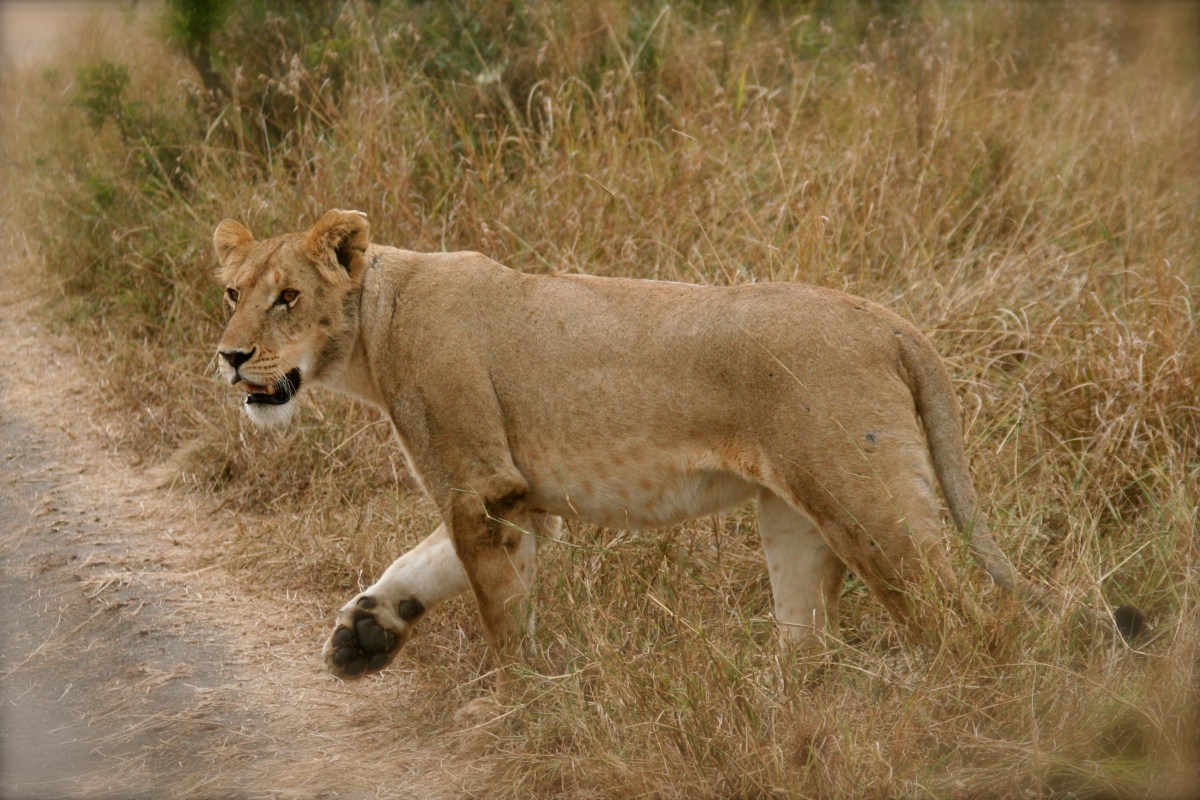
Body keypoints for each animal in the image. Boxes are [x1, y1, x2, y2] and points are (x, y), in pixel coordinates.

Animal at [213, 209, 1022, 680]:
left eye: (287, 297)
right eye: (233, 293)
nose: (230, 356)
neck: (374, 331)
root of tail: (887, 320)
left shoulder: (481, 487)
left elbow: (498, 607)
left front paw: (514, 702)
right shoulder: (515, 498)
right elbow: (429, 561)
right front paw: (364, 634)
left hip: (864, 498)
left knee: (963, 619)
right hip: (796, 518)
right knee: (808, 641)